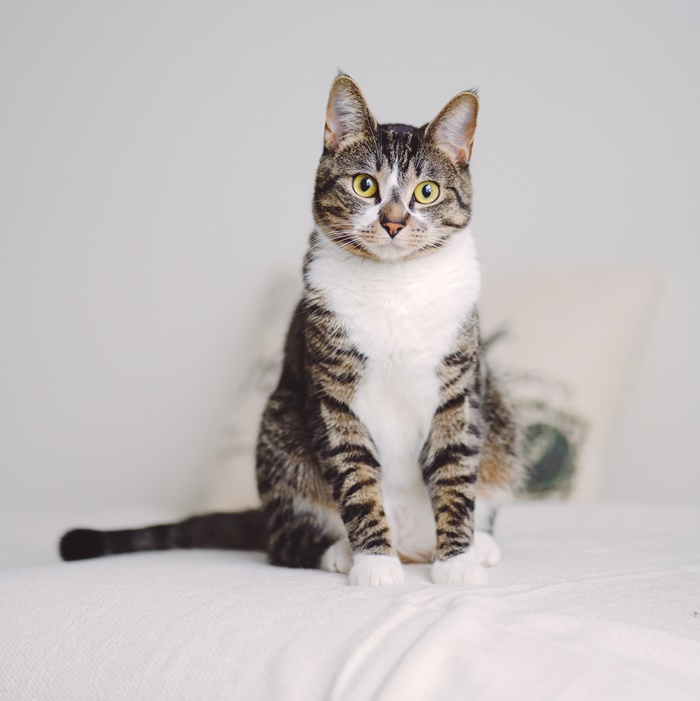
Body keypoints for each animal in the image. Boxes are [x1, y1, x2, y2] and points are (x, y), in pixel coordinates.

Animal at [60, 75, 524, 584]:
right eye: (365, 185)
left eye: (426, 192)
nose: (393, 222)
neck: (394, 285)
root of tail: (412, 546)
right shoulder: (333, 394)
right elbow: (356, 478)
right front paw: (374, 563)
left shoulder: (459, 390)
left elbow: (456, 473)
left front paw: (457, 561)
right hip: (279, 427)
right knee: (283, 543)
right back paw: (341, 551)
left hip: (499, 416)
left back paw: (479, 545)